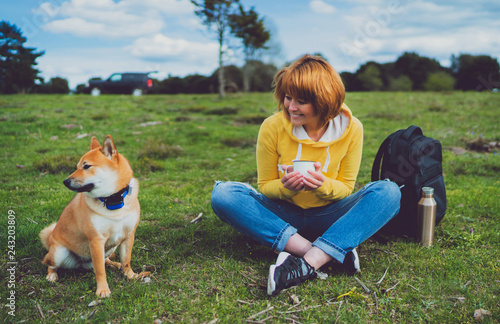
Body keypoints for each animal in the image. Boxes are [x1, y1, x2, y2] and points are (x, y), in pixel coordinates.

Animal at [39, 134, 148, 296]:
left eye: (86, 166)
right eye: (77, 166)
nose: (65, 181)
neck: (113, 201)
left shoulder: (128, 235)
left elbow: (126, 260)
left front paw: (130, 276)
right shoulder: (96, 240)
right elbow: (100, 270)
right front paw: (102, 289)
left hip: (111, 248)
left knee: (106, 260)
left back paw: (114, 264)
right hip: (59, 253)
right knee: (49, 264)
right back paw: (52, 275)